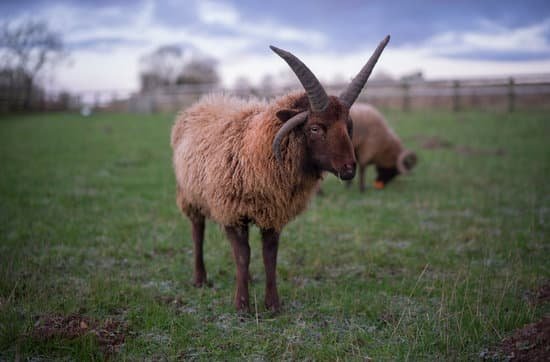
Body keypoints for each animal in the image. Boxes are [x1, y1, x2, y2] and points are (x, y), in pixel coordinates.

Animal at [172, 37, 392, 314]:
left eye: (348, 126)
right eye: (315, 128)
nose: (349, 168)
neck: (253, 148)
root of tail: (206, 101)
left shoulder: (272, 213)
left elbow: (269, 256)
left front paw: (273, 304)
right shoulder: (231, 210)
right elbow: (242, 255)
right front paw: (242, 305)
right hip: (191, 195)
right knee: (197, 231)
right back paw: (200, 278)